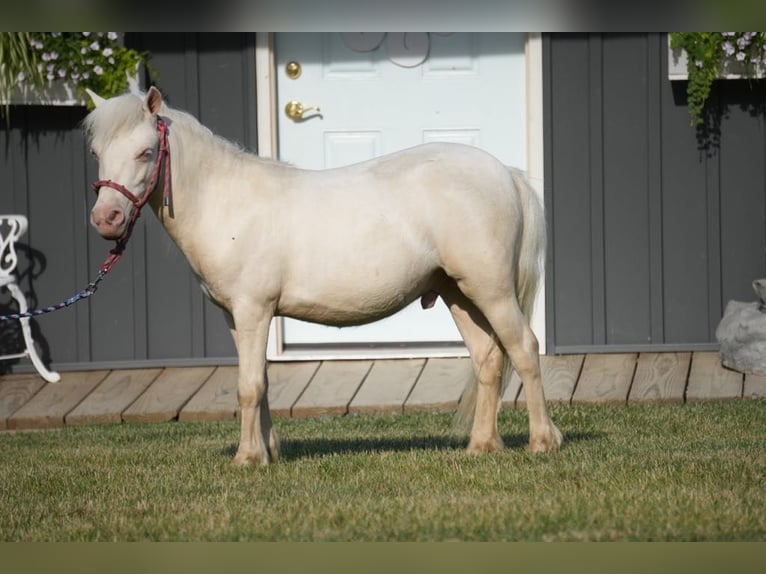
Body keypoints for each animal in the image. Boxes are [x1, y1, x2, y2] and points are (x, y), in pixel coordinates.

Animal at [85, 86, 564, 468]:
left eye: (146, 152)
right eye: (96, 154)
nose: (106, 219)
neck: (226, 202)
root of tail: (505, 174)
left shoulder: (254, 310)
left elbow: (248, 386)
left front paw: (247, 458)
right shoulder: (236, 318)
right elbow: (259, 383)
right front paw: (268, 453)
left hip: (492, 290)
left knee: (523, 349)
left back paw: (543, 441)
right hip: (459, 293)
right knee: (489, 359)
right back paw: (481, 445)